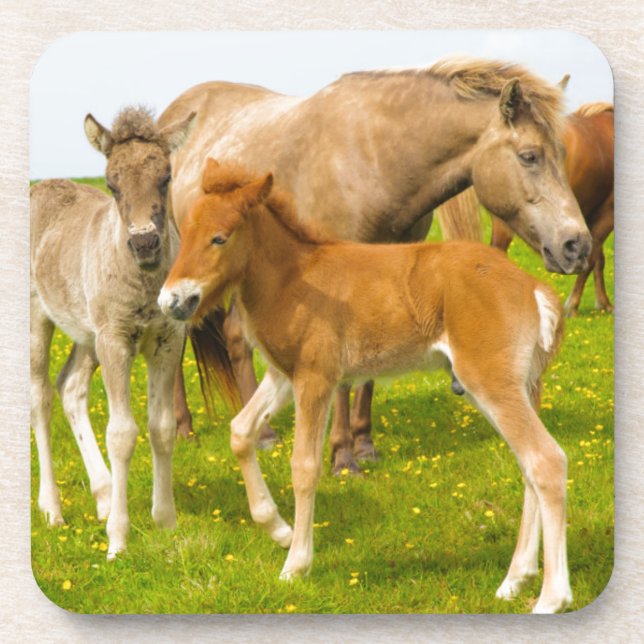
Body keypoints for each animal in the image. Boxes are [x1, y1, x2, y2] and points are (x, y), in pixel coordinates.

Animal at [30, 106, 195, 558]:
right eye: (111, 184)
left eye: (166, 177)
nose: (145, 244)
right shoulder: (115, 340)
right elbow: (122, 433)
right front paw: (118, 540)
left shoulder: (167, 340)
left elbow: (161, 427)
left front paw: (166, 522)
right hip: (40, 319)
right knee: (40, 397)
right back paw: (53, 509)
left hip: (86, 334)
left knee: (69, 387)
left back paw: (104, 494)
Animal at [159, 57, 591, 474]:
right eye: (529, 156)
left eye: (563, 153)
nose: (577, 245)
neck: (374, 158)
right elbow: (342, 383)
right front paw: (342, 457)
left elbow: (366, 376)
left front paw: (364, 445)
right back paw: (184, 427)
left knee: (234, 337)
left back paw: (261, 431)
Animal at [159, 159, 572, 614]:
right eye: (185, 233)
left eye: (220, 237)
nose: (171, 300)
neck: (293, 277)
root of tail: (534, 288)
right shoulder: (284, 375)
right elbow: (240, 432)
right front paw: (277, 529)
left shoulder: (316, 377)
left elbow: (304, 466)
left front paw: (296, 563)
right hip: (516, 387)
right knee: (528, 466)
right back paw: (516, 580)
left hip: (491, 382)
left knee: (545, 460)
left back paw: (552, 596)